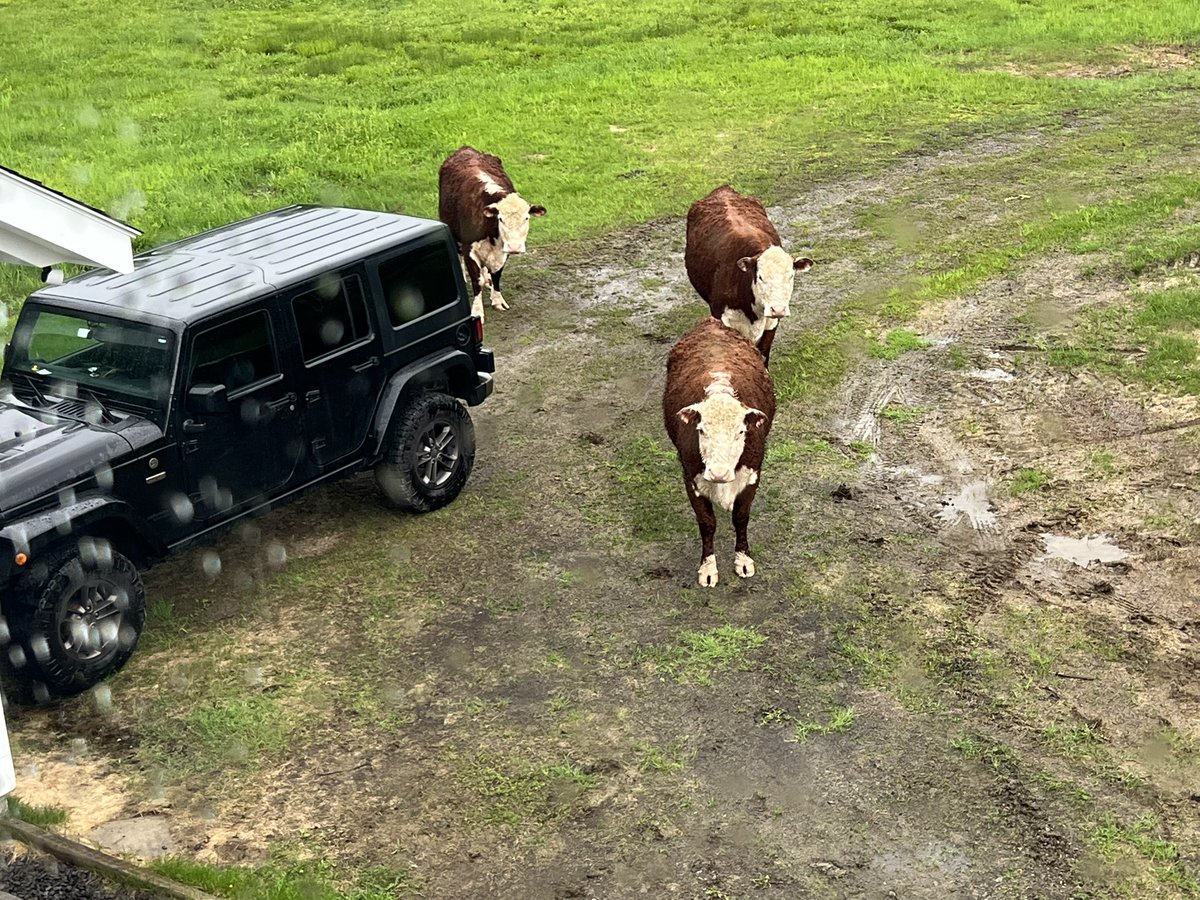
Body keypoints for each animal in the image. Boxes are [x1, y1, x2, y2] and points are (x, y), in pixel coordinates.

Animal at [438, 146, 546, 321]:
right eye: (500, 219)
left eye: (527, 217)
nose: (515, 247)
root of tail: (465, 149)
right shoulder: (469, 248)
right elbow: (477, 281)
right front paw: (477, 311)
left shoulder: (502, 251)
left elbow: (496, 275)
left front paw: (497, 300)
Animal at [663, 317, 777, 587]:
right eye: (701, 430)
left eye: (740, 431)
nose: (718, 473)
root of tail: (712, 323)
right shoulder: (690, 477)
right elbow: (707, 523)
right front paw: (707, 569)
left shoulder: (753, 475)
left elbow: (741, 516)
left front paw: (743, 561)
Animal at [684, 185, 813, 366]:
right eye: (760, 277)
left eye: (791, 276)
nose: (778, 309)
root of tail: (723, 189)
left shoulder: (771, 323)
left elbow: (763, 354)